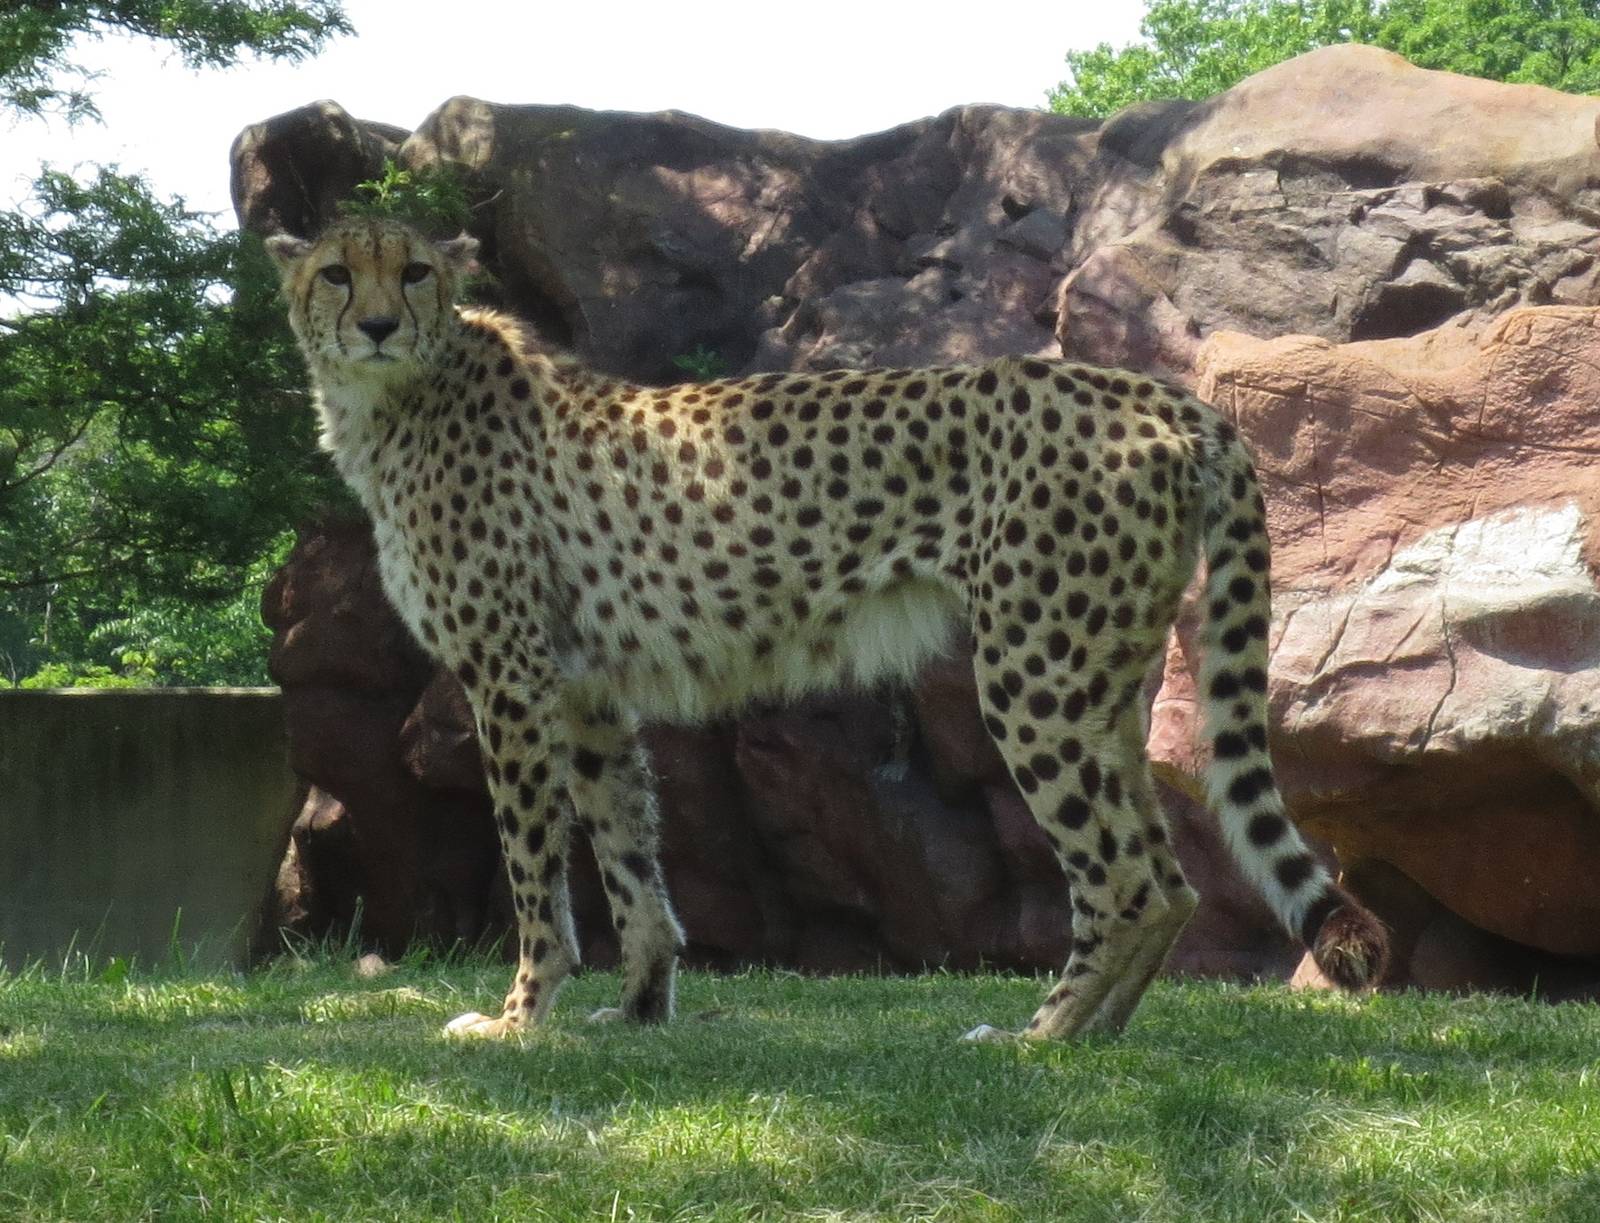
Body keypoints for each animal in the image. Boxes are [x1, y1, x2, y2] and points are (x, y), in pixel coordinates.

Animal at [267, 216, 1387, 1043]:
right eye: (336, 274)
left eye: (413, 271)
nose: (375, 323)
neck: (397, 396)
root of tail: (1151, 389)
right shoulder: (588, 691)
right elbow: (630, 855)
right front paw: (638, 1006)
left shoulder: (510, 679)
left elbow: (535, 864)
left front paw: (519, 1017)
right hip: (1097, 673)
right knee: (1169, 875)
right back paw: (1096, 1034)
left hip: (1032, 673)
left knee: (1128, 877)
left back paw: (1039, 1036)